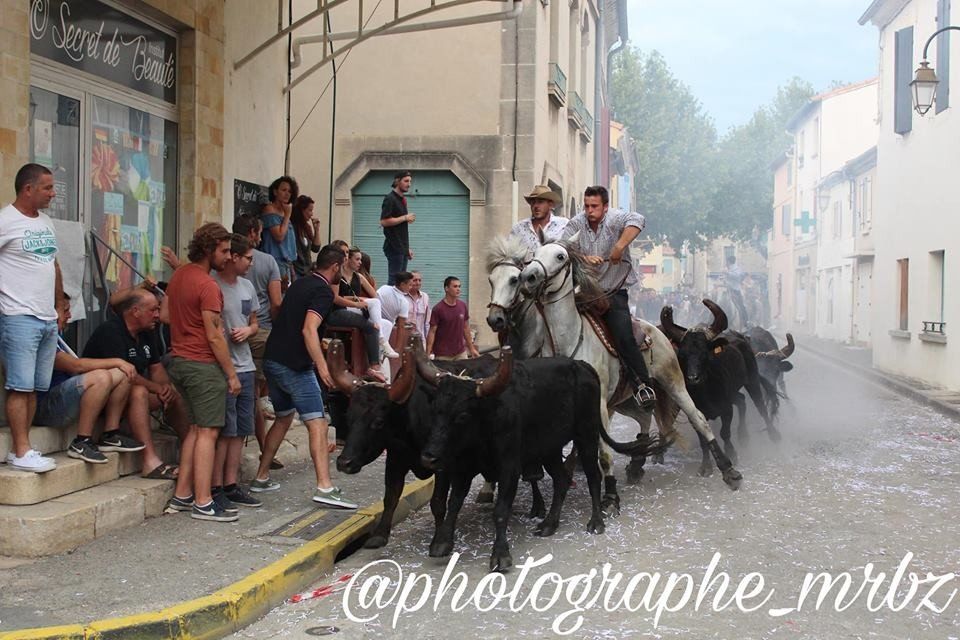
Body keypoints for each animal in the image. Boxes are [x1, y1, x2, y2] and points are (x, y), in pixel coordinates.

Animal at [418, 347, 655, 573]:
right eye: (435, 410)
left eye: (462, 415)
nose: (429, 456)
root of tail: (581, 365)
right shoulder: (463, 468)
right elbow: (454, 503)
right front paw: (442, 542)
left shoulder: (509, 468)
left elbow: (500, 511)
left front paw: (500, 555)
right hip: (550, 450)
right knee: (561, 480)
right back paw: (550, 523)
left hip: (586, 435)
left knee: (593, 476)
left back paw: (596, 521)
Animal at [660, 300, 781, 476]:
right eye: (682, 354)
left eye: (704, 353)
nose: (693, 378)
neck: (706, 392)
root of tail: (741, 337)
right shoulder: (694, 415)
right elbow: (704, 441)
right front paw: (705, 466)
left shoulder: (726, 408)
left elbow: (725, 433)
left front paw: (732, 454)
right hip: (734, 392)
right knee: (742, 401)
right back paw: (743, 435)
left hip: (752, 381)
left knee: (760, 406)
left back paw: (773, 434)